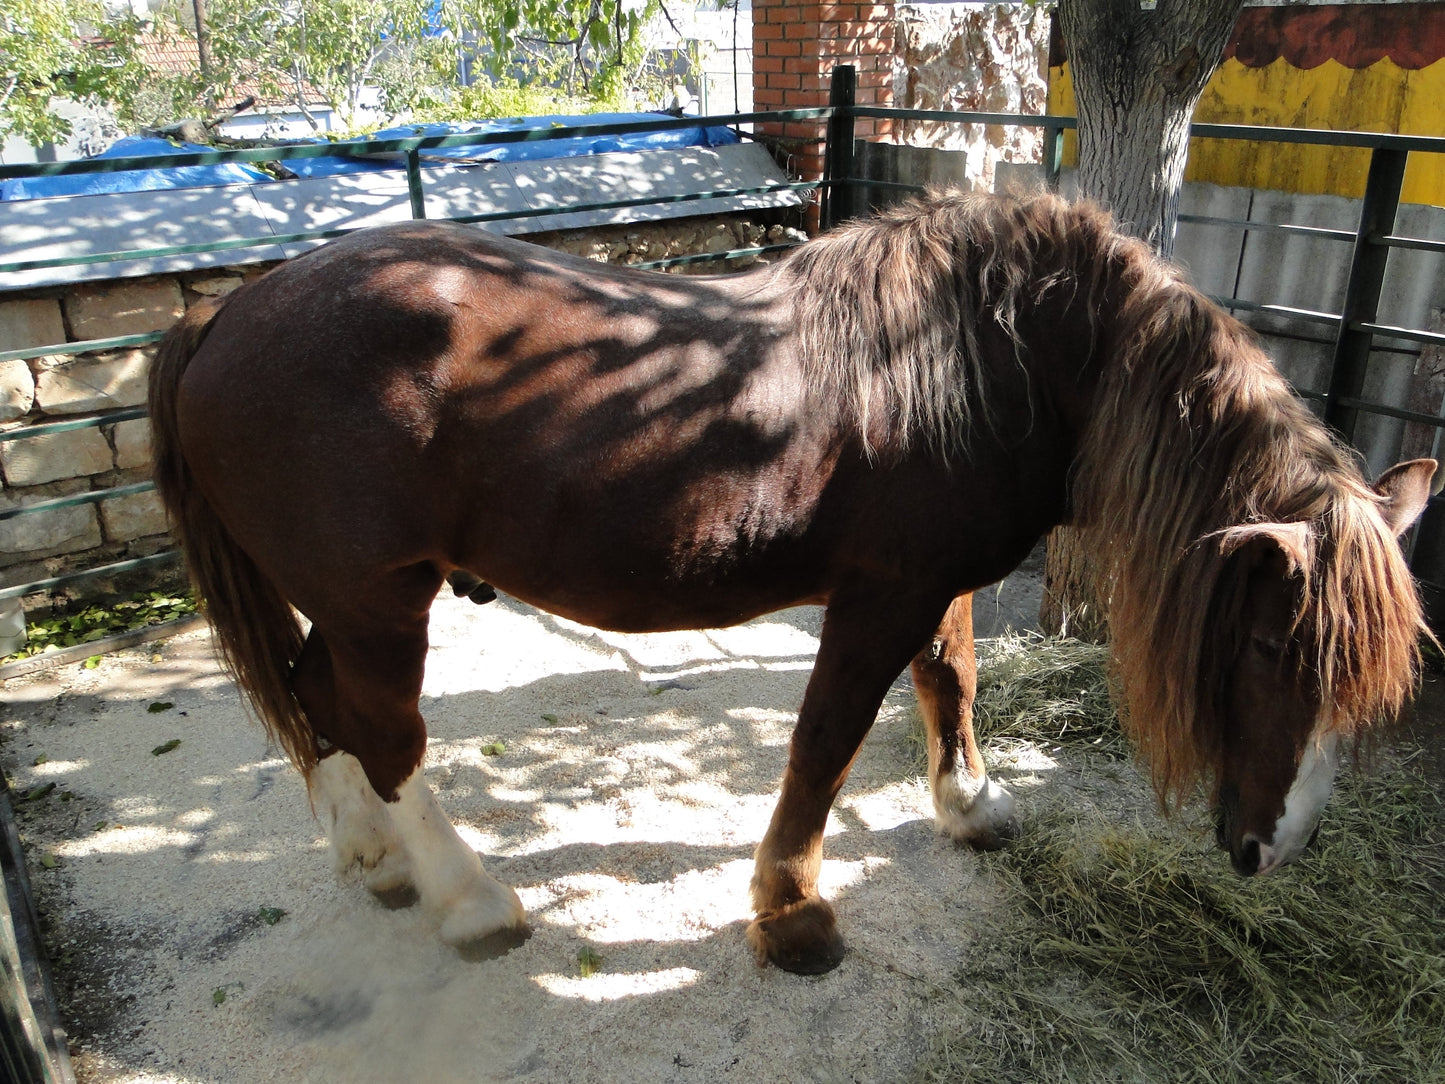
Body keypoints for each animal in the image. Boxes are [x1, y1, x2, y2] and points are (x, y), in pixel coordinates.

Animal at [146, 190, 1433, 982]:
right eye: (1268, 649)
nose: (1275, 849)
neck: (1004, 355)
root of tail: (226, 312)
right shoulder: (877, 598)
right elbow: (825, 744)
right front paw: (791, 908)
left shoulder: (939, 582)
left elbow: (951, 681)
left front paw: (970, 804)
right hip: (381, 603)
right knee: (385, 730)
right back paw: (468, 896)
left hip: (344, 603)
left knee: (314, 699)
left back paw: (371, 857)